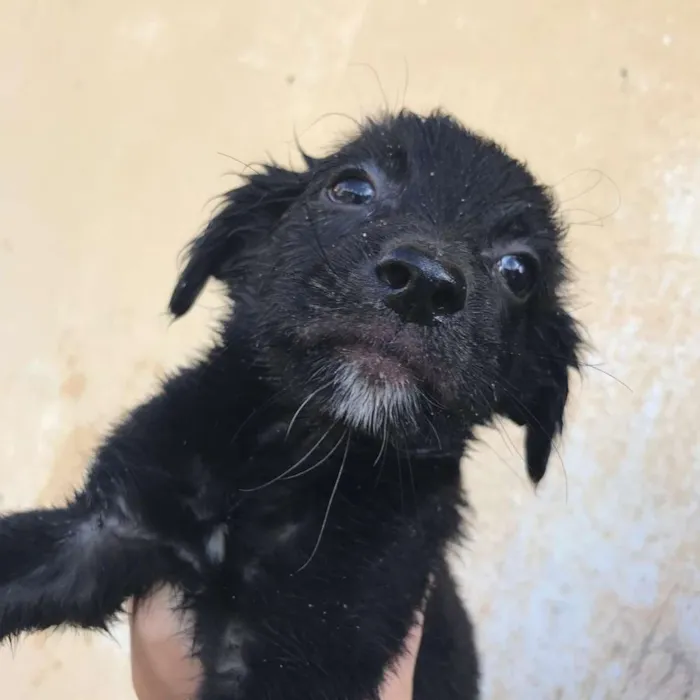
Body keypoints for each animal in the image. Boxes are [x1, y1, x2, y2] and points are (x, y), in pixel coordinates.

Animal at [0, 110, 580, 700]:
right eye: (351, 188)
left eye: (518, 270)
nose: (423, 284)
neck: (292, 449)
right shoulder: (105, 527)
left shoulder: (311, 643)